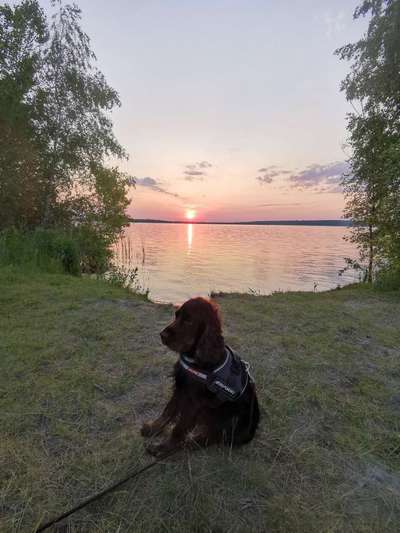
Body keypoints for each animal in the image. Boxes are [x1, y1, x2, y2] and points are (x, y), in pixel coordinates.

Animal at [141, 296, 260, 454]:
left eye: (189, 321)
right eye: (176, 316)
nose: (162, 335)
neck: (197, 358)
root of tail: (250, 432)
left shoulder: (194, 401)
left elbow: (179, 428)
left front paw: (164, 448)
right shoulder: (180, 388)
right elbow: (168, 410)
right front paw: (152, 428)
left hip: (229, 416)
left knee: (208, 438)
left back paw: (186, 444)